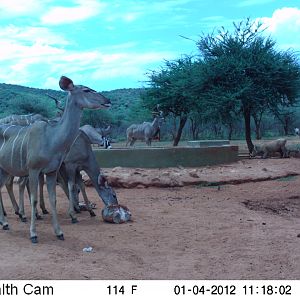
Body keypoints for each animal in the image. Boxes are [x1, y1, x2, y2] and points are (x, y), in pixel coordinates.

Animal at [0, 76, 111, 243]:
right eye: (86, 90)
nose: (108, 100)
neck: (52, 138)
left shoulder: (52, 171)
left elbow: (54, 199)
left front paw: (59, 232)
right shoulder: (34, 170)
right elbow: (34, 199)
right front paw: (33, 234)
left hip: (5, 169)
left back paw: (6, 222)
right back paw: (13, 218)